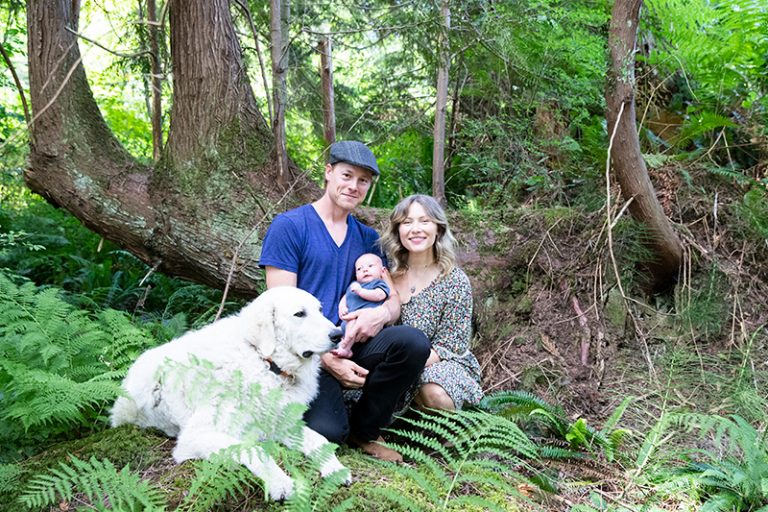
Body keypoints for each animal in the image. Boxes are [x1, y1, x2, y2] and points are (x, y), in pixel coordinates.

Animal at [109, 286, 350, 502]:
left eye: (320, 310)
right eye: (300, 314)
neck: (265, 362)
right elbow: (255, 449)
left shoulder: (280, 423)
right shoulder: (196, 436)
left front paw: (335, 467)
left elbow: (318, 439)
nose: (338, 334)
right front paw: (279, 482)